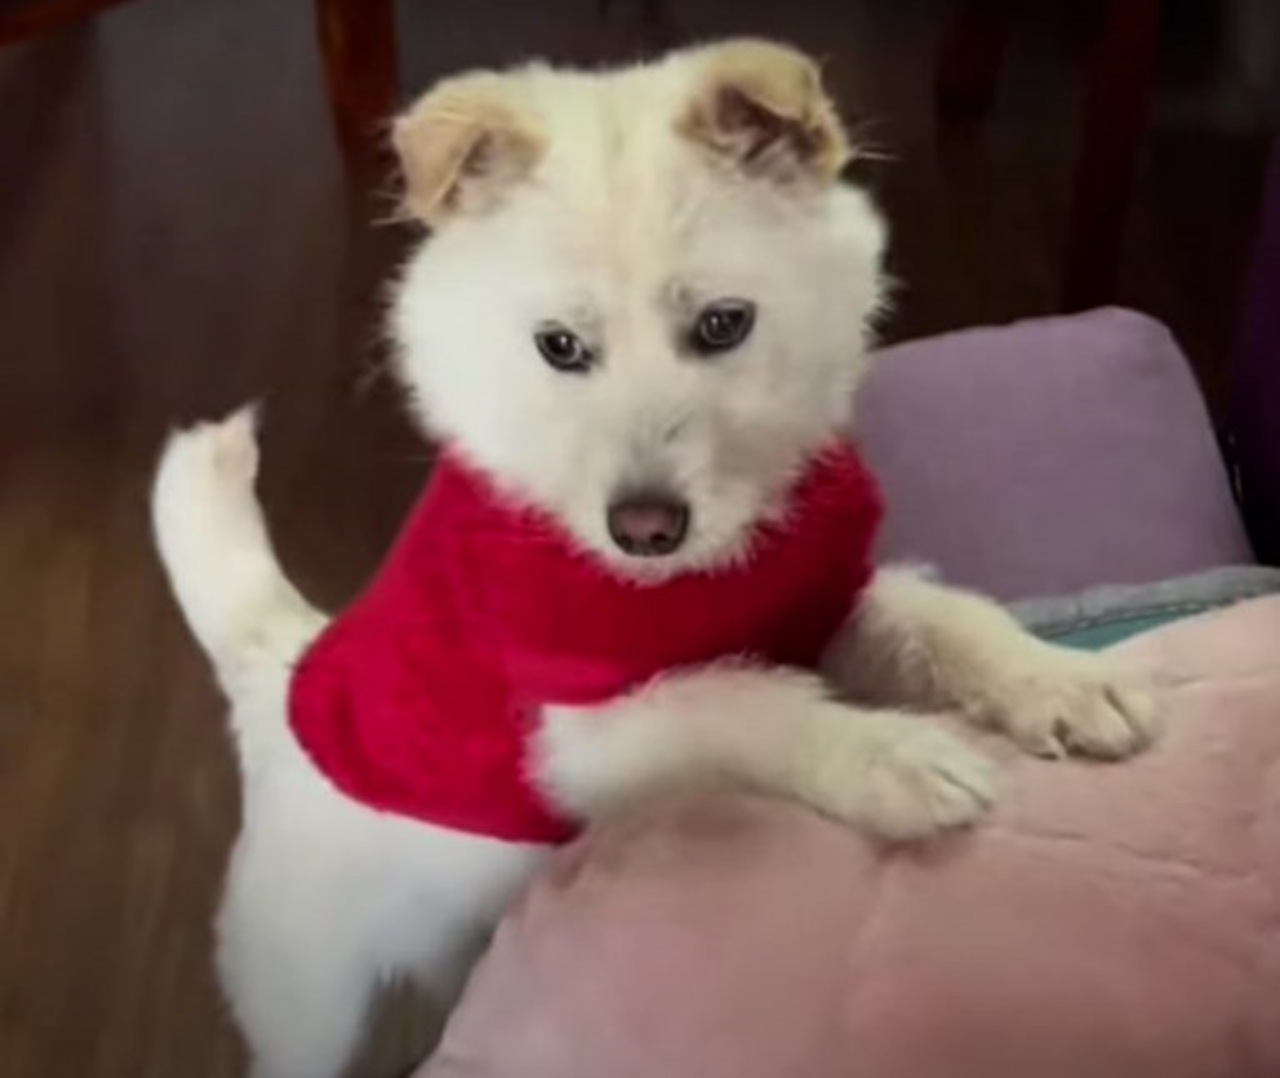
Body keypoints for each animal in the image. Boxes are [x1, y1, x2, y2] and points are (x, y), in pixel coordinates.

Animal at [152, 37, 1162, 1070]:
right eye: (559, 347)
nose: (644, 528)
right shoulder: (583, 736)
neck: (694, 576)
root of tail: (282, 669)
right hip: (311, 1004)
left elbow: (945, 616)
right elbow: (740, 699)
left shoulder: (828, 609)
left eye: (723, 324)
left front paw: (1060, 680)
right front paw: (890, 757)